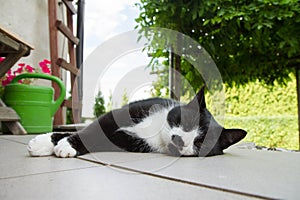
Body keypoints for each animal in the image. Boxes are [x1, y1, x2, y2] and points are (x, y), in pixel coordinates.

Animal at [27, 86, 246, 158]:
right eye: (187, 122)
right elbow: (90, 129)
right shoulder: (117, 114)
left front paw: (67, 146)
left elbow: (96, 136)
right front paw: (44, 142)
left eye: (201, 142)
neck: (157, 132)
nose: (181, 140)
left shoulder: (129, 142)